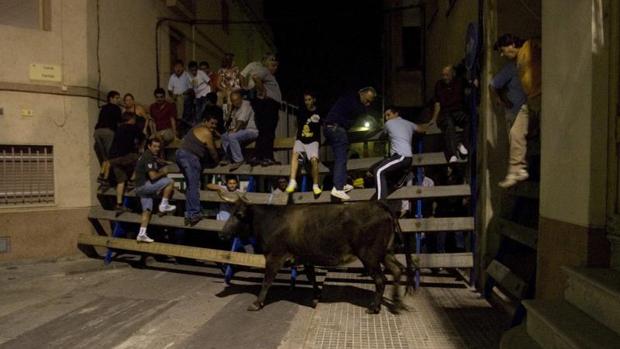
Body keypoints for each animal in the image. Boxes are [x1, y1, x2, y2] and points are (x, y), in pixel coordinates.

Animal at [219, 194, 416, 314]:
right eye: (231, 212)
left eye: (239, 215)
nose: (222, 234)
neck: (270, 220)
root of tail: (379, 204)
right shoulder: (306, 257)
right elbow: (311, 277)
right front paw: (315, 298)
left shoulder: (275, 256)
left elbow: (266, 281)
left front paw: (256, 303)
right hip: (385, 252)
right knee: (397, 270)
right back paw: (396, 302)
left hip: (370, 255)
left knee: (381, 279)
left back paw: (374, 307)